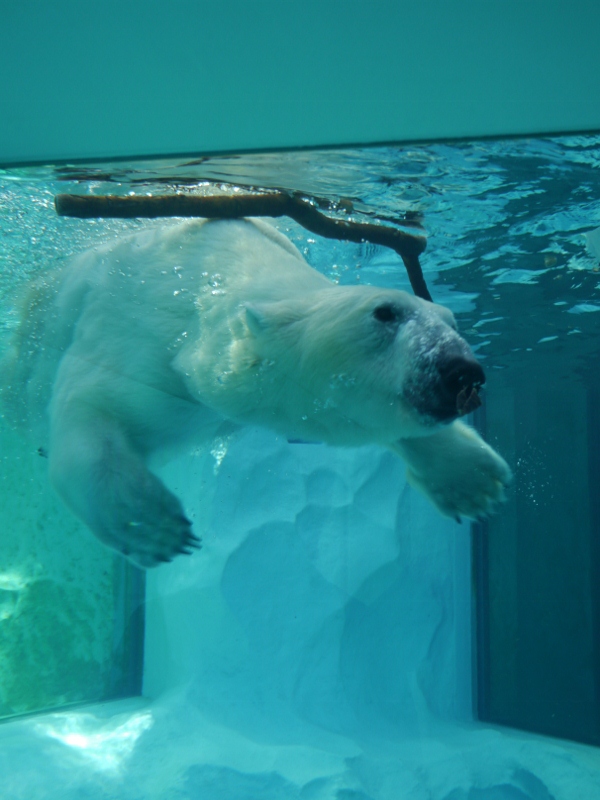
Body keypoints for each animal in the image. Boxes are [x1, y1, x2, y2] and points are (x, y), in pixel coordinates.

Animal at [4, 217, 510, 568]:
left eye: (450, 319)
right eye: (384, 312)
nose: (462, 372)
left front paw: (473, 483)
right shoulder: (136, 337)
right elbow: (88, 407)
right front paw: (151, 527)